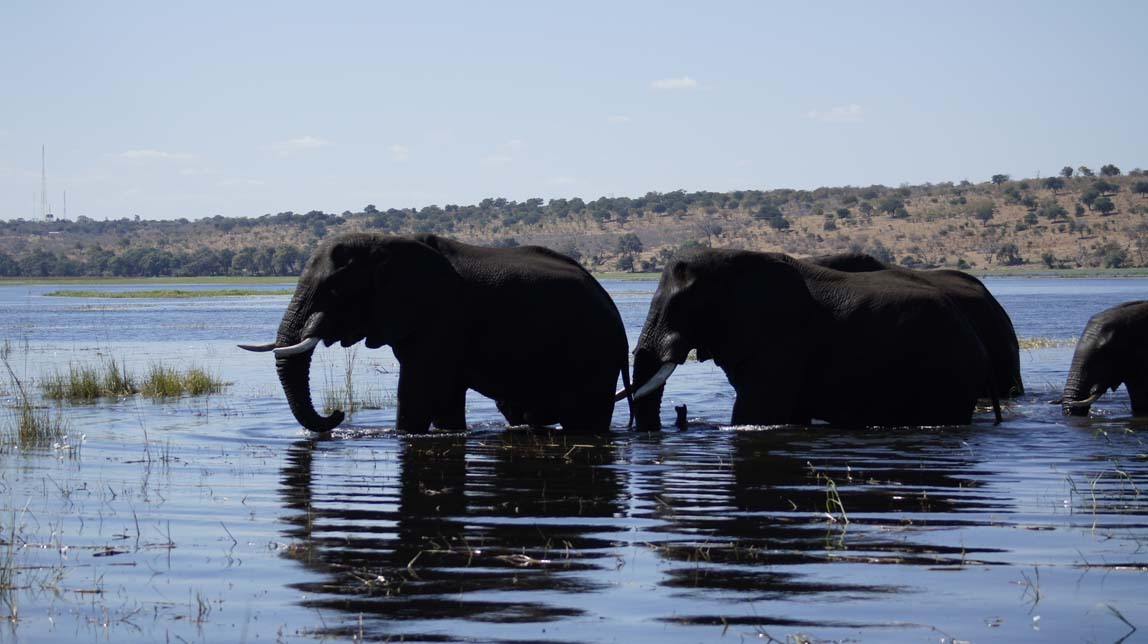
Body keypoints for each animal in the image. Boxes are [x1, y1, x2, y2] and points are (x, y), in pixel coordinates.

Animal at [242, 230, 633, 431]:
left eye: (334, 288)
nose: (338, 414)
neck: (383, 242)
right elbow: (444, 400)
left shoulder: (441, 317)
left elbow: (418, 392)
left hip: (594, 354)